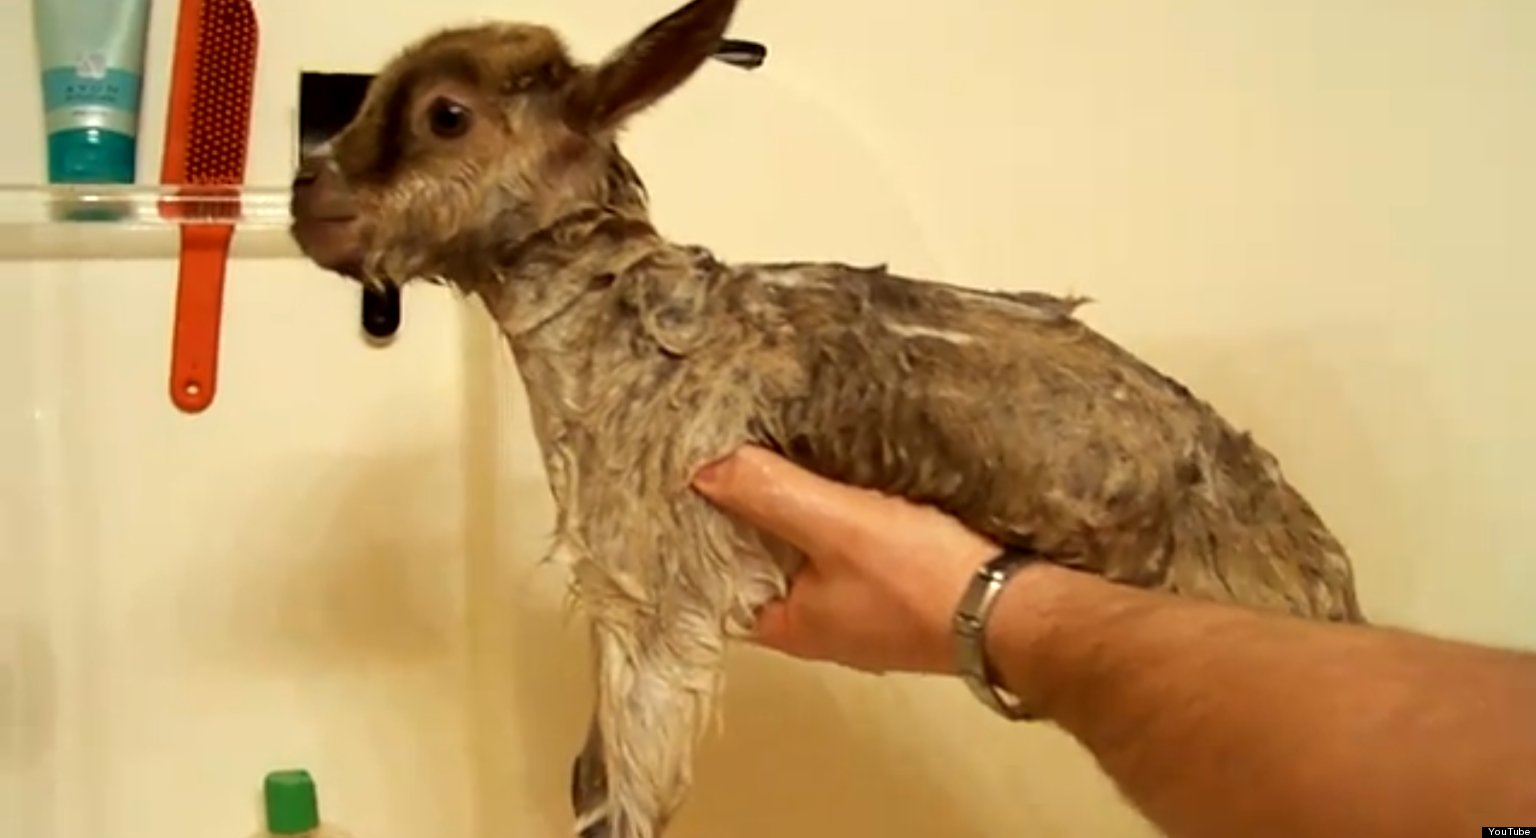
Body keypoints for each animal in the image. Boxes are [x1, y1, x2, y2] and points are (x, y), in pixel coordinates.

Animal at [288, 0, 1365, 835]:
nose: (305, 189)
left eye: (446, 116)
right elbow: (589, 778)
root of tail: (1324, 575)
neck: (615, 324)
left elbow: (624, 796)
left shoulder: (664, 596)